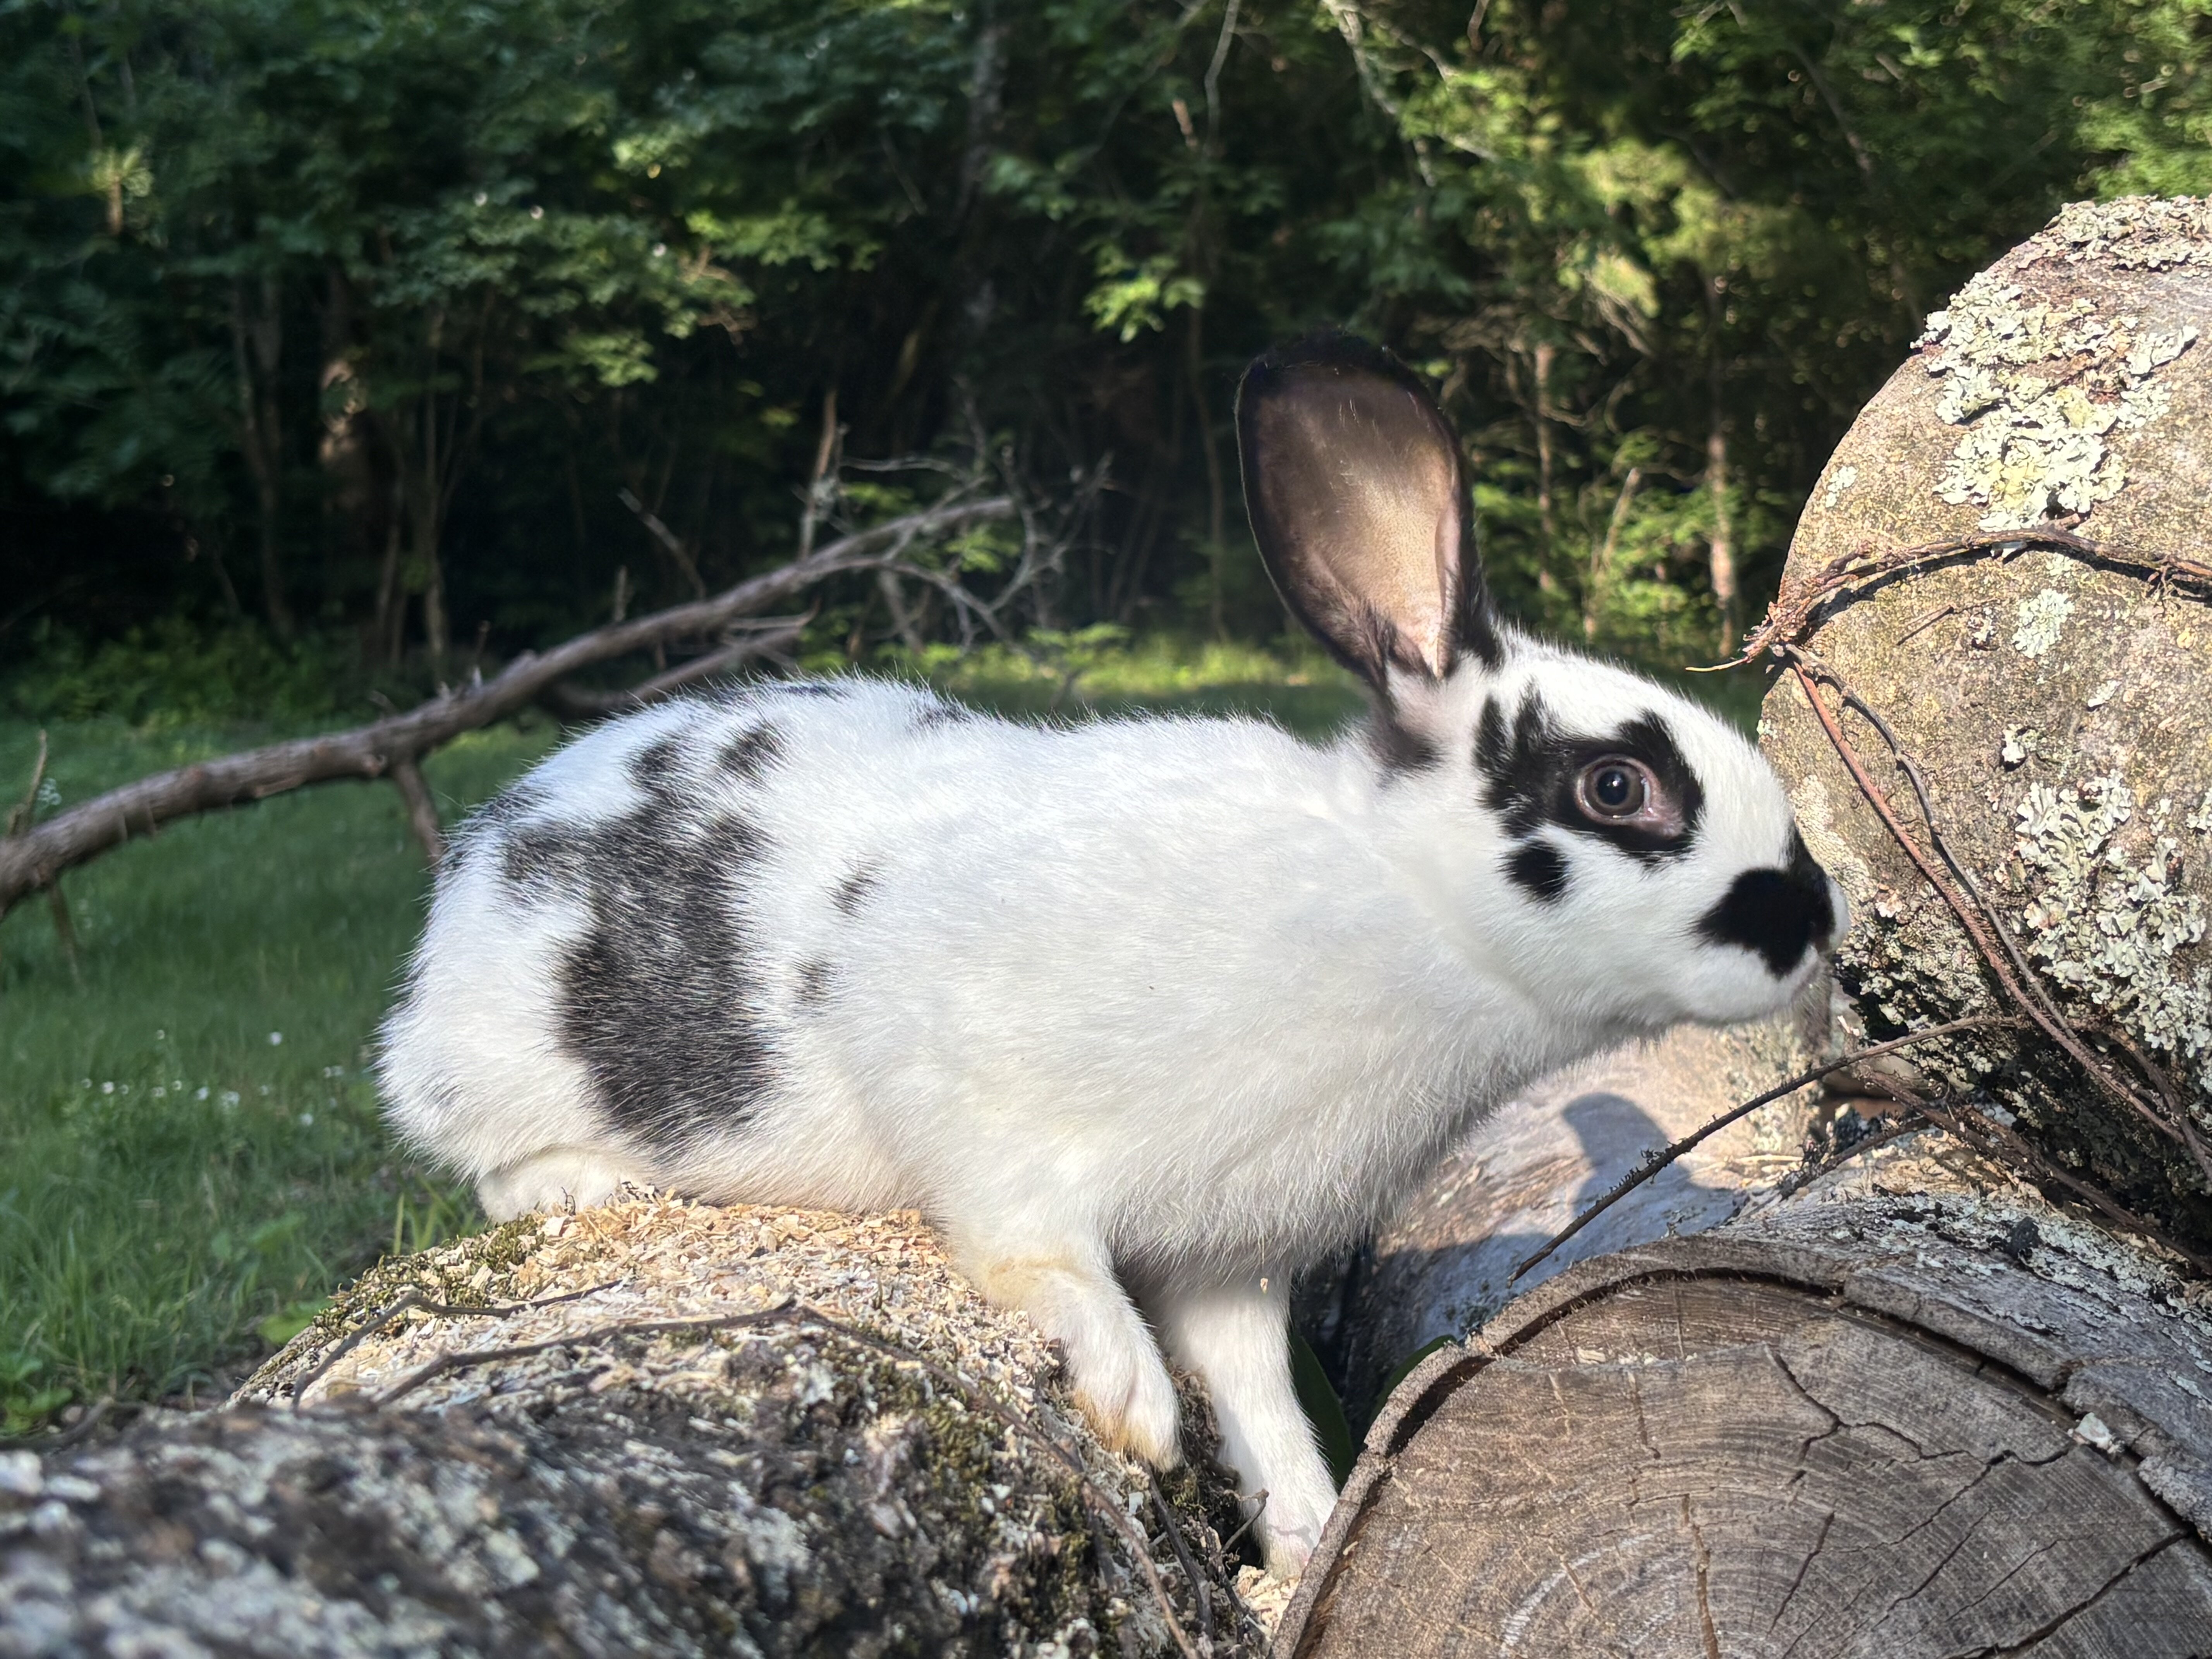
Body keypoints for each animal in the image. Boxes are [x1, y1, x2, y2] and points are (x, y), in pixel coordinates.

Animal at [379, 333, 1847, 1576]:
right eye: (1615, 787)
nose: (1810, 921)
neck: (1401, 911)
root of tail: (473, 872)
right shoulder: (964, 1089)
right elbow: (1042, 1255)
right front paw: (1130, 1403)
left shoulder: (1231, 1266)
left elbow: (1258, 1396)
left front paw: (1303, 1533)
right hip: (495, 1064)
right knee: (484, 1155)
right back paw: (580, 1185)